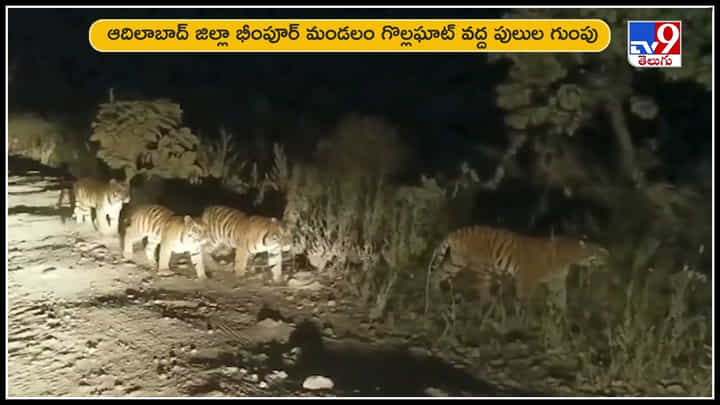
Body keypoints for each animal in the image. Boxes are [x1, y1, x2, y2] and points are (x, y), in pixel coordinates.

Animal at [424, 225, 609, 313]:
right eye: (600, 253)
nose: (608, 260)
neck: (571, 257)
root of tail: (457, 231)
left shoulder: (556, 281)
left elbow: (561, 299)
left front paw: (564, 318)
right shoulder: (527, 278)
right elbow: (523, 299)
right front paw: (521, 317)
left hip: (455, 262)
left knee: (437, 274)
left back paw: (435, 295)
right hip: (481, 268)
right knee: (481, 289)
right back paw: (491, 306)